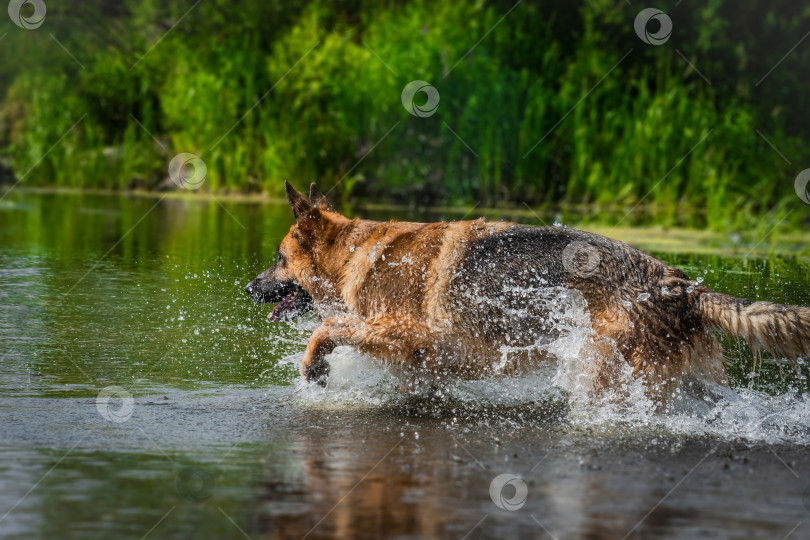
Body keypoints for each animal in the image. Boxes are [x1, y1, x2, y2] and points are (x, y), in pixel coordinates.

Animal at [245, 184, 808, 402]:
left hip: (610, 367)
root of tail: (679, 284)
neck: (356, 253)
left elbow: (326, 327)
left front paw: (313, 368)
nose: (247, 287)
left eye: (277, 258)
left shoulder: (408, 333)